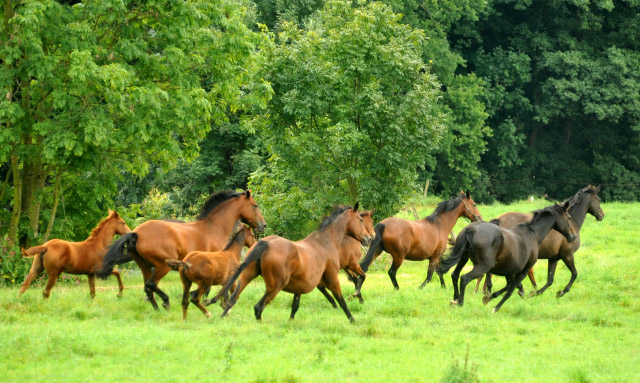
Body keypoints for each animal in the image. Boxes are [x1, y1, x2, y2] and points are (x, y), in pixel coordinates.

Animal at [99, 190, 268, 312]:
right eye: (255, 205)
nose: (263, 225)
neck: (214, 228)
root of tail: (137, 233)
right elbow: (211, 288)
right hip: (162, 265)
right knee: (151, 284)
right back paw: (166, 302)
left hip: (144, 266)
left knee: (147, 287)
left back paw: (157, 308)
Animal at [212, 206, 364, 322]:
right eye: (361, 219)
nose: (367, 238)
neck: (326, 241)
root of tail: (265, 243)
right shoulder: (333, 280)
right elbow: (342, 302)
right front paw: (353, 320)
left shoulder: (299, 288)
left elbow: (294, 307)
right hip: (275, 286)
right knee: (258, 307)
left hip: (246, 277)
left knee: (232, 299)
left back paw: (222, 317)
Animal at [438, 202, 576, 314]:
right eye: (569, 217)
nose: (573, 237)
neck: (533, 235)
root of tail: (471, 229)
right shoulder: (523, 270)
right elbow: (511, 289)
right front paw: (495, 307)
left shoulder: (510, 271)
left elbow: (509, 286)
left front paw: (487, 298)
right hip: (483, 266)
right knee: (464, 278)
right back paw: (460, 303)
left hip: (464, 258)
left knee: (455, 275)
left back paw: (454, 299)